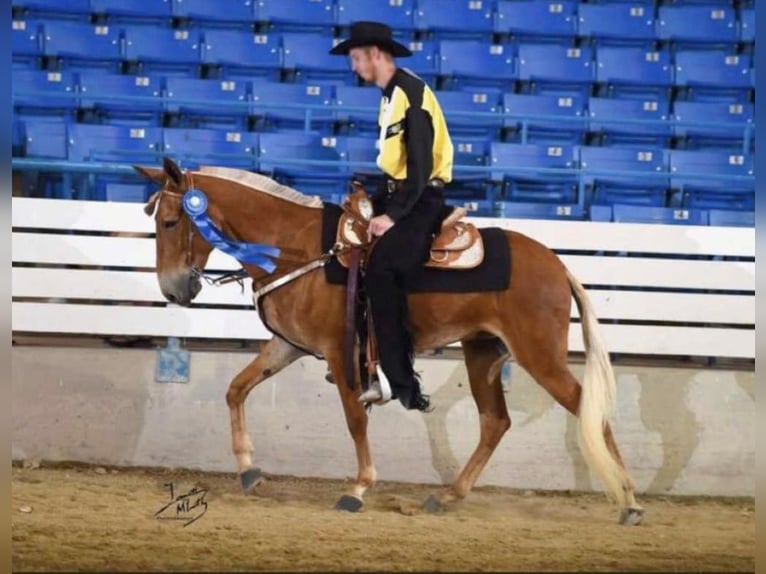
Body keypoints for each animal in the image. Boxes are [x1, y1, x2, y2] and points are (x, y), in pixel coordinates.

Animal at [136, 158, 648, 528]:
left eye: (170, 222)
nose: (173, 290)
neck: (300, 248)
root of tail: (557, 265)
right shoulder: (289, 345)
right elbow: (237, 389)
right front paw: (247, 469)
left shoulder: (341, 352)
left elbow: (355, 419)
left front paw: (358, 488)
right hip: (482, 352)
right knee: (495, 422)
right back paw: (448, 496)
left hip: (540, 356)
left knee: (589, 413)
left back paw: (629, 501)